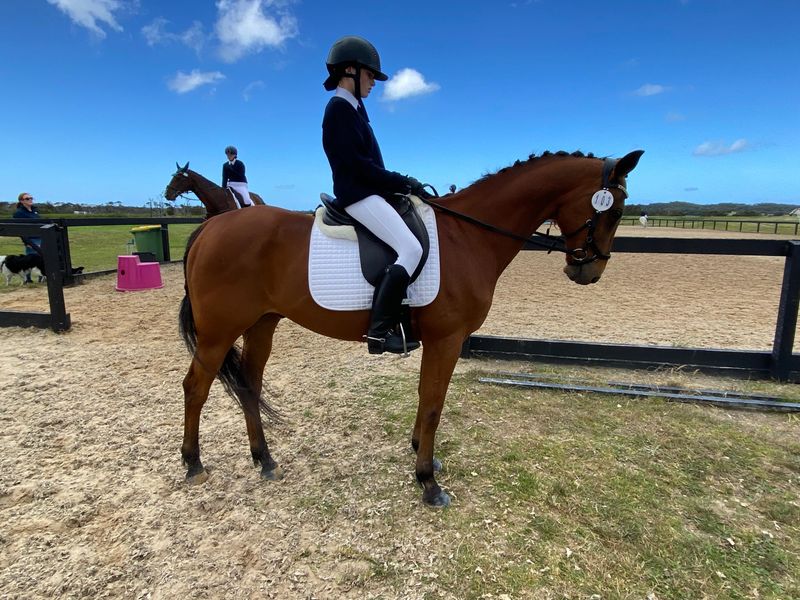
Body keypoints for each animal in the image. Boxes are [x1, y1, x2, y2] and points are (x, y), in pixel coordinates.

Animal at [178, 149, 644, 507]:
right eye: (616, 211)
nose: (589, 272)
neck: (468, 236)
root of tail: (210, 227)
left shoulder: (437, 342)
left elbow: (425, 397)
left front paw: (423, 454)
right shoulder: (447, 340)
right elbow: (435, 401)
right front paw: (428, 483)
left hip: (261, 324)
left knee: (249, 385)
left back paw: (265, 460)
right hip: (219, 332)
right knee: (196, 387)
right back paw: (194, 464)